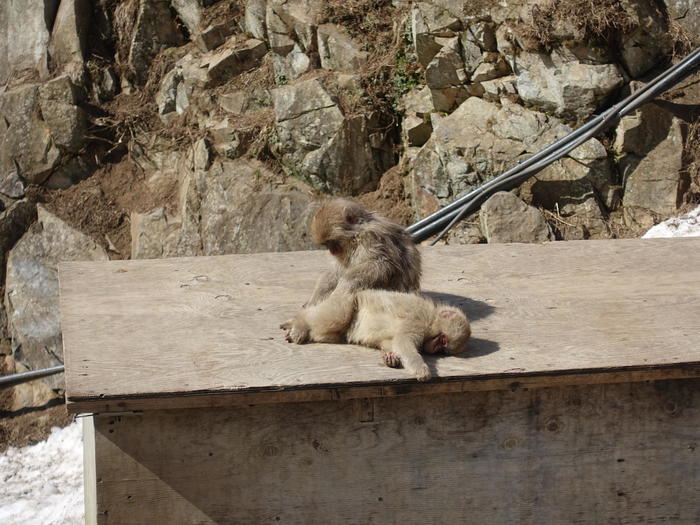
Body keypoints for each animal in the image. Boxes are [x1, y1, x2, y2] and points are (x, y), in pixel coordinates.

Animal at [278, 290, 470, 380]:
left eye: (443, 349)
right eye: (442, 340)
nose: (433, 349)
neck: (431, 317)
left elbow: (391, 342)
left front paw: (391, 357)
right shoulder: (417, 320)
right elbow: (403, 342)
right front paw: (421, 370)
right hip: (346, 301)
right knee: (336, 317)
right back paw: (300, 322)